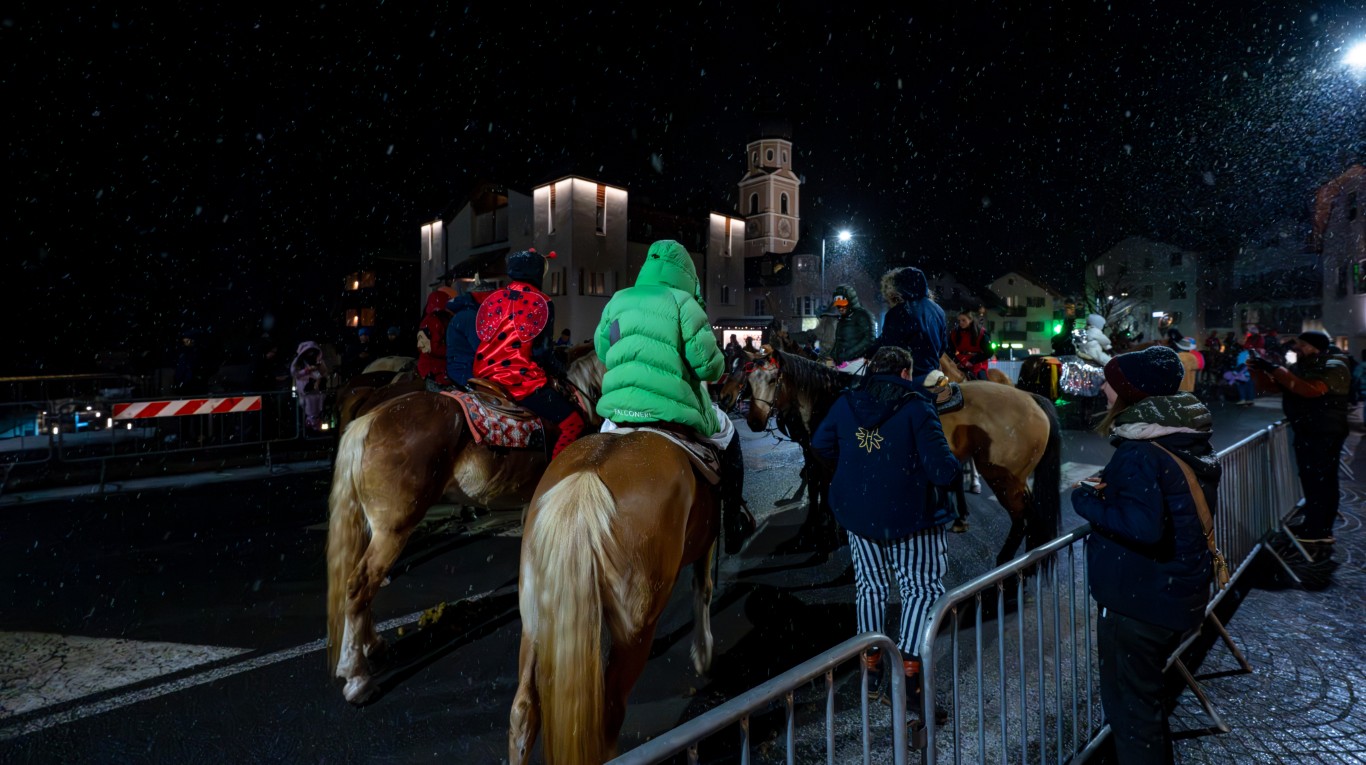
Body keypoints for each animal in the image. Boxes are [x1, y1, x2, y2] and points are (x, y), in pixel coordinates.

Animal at [507, 430, 719, 765]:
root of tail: (586, 477)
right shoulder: (708, 538)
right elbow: (704, 586)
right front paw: (703, 654)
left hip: (533, 620)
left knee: (523, 710)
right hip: (635, 631)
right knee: (610, 712)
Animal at [745, 350, 1062, 565]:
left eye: (773, 379)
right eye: (748, 381)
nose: (754, 422)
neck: (828, 399)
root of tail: (1031, 398)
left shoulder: (827, 467)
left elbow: (826, 504)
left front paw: (826, 544)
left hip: (1003, 478)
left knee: (1022, 518)